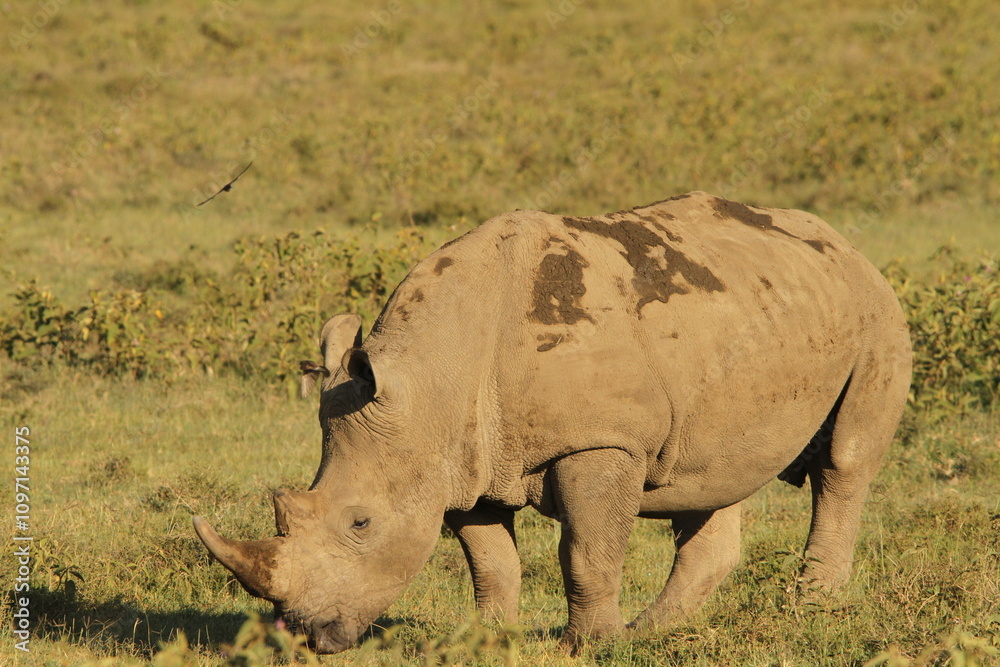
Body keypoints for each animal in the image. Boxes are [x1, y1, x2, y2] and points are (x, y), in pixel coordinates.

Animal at [193, 192, 912, 653]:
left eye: (361, 523)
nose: (303, 633)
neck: (430, 381)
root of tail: (842, 243)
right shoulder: (465, 459)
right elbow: (491, 560)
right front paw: (486, 639)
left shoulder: (601, 441)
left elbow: (587, 552)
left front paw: (586, 647)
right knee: (710, 480)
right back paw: (653, 632)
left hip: (877, 312)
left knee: (845, 461)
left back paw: (809, 605)